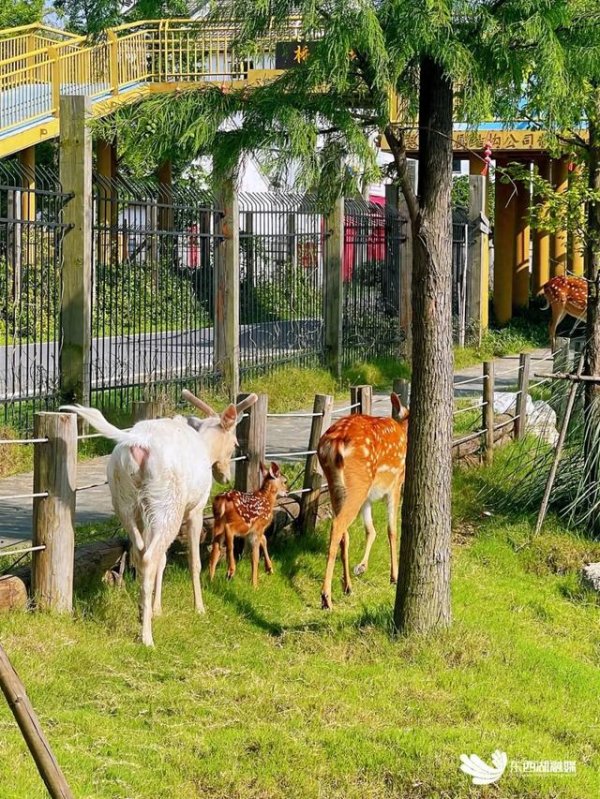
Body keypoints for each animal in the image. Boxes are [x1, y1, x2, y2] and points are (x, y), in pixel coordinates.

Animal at [61, 390, 258, 646]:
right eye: (235, 443)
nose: (225, 476)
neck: (205, 448)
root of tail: (138, 443)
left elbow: (163, 560)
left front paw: (157, 609)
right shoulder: (196, 507)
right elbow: (194, 560)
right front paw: (199, 608)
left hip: (125, 501)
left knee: (140, 552)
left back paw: (142, 612)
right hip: (167, 502)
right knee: (149, 556)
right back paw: (147, 637)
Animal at [317, 393, 409, 610]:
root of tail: (335, 442)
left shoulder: (368, 498)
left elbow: (371, 529)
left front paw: (361, 566)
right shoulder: (395, 484)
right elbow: (392, 530)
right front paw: (394, 576)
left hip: (339, 487)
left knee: (345, 532)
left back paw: (347, 586)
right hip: (359, 481)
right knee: (338, 526)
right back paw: (326, 597)